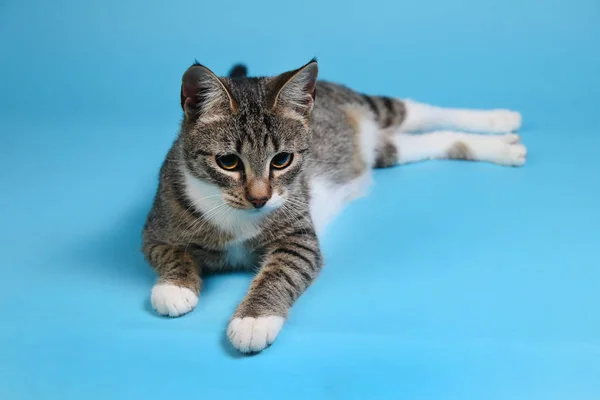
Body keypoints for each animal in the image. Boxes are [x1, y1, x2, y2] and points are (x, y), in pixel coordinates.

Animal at [141, 58, 524, 354]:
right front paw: (174, 287)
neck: (236, 215)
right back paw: (500, 145)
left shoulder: (300, 238)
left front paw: (253, 321)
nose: (260, 198)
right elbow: (170, 252)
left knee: (416, 110)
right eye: (228, 162)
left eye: (281, 160)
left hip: (374, 108)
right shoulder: (156, 224)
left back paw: (499, 120)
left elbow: (281, 272)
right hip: (387, 150)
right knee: (433, 139)